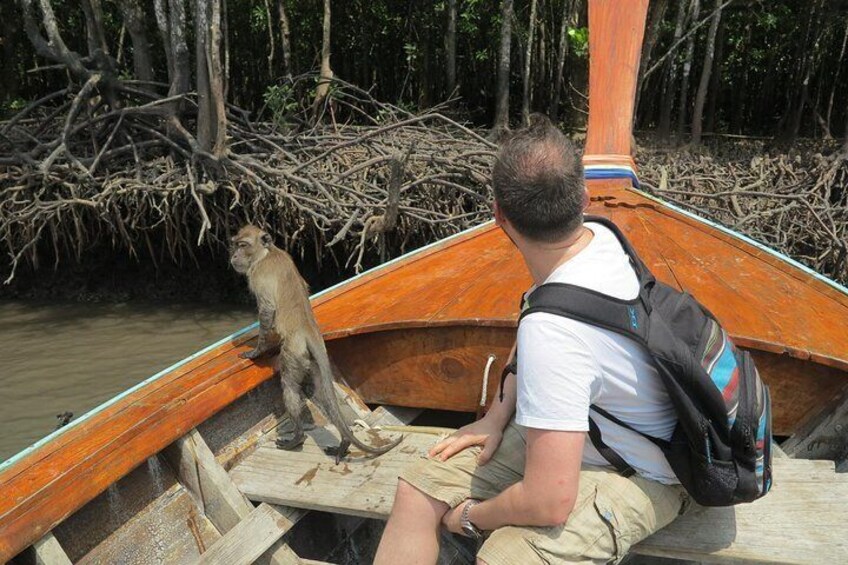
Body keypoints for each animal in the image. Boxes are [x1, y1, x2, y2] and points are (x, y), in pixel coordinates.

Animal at [227, 225, 402, 462]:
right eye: (235, 244)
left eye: (243, 245)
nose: (234, 256)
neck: (267, 253)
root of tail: (309, 331)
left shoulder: (258, 276)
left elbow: (267, 310)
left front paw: (256, 351)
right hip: (310, 359)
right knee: (320, 393)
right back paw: (344, 441)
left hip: (293, 354)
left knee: (290, 386)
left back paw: (297, 438)